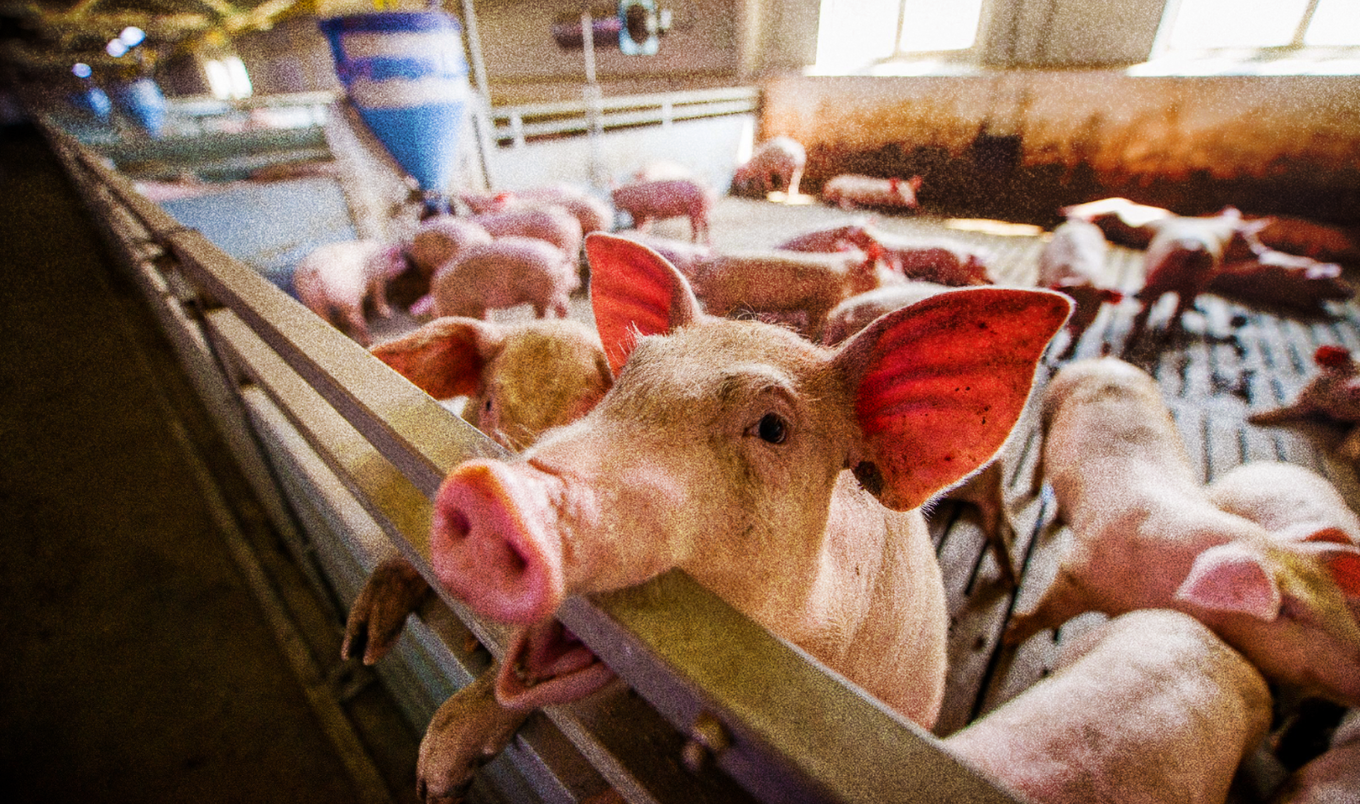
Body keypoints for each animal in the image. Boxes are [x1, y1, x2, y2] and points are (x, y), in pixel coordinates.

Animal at [430, 237, 580, 321]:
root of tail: (562, 259)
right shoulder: (479, 305)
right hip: (552, 292)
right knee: (561, 306)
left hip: (547, 291)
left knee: (556, 309)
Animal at [688, 249, 890, 342]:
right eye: (880, 269)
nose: (890, 281)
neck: (846, 274)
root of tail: (704, 268)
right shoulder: (820, 303)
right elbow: (814, 327)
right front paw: (813, 340)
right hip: (720, 299)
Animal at [1006, 357, 1360, 707]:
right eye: (1291, 611)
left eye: (1341, 602)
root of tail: (1108, 361)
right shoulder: (1076, 572)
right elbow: (1045, 613)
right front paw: (1012, 631)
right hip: (1049, 408)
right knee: (1040, 457)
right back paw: (1033, 492)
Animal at [1038, 218, 1124, 352]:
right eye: (1074, 301)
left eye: (1095, 306)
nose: (1075, 327)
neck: (1086, 279)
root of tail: (1079, 222)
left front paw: (1068, 352)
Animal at [1206, 249, 1353, 316]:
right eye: (1329, 282)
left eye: (1339, 276)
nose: (1352, 291)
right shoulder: (1299, 298)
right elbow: (1310, 306)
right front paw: (1318, 309)